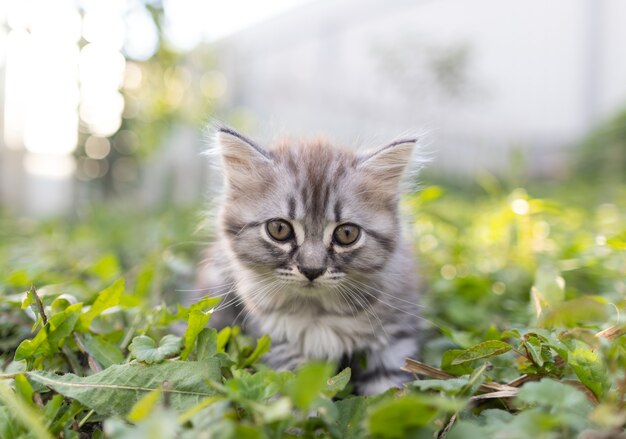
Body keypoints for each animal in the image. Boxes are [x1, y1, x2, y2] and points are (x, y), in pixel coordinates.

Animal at [199, 126, 424, 396]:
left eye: (346, 234)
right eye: (279, 229)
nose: (312, 269)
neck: (317, 311)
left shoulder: (395, 338)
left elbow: (388, 393)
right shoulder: (276, 340)